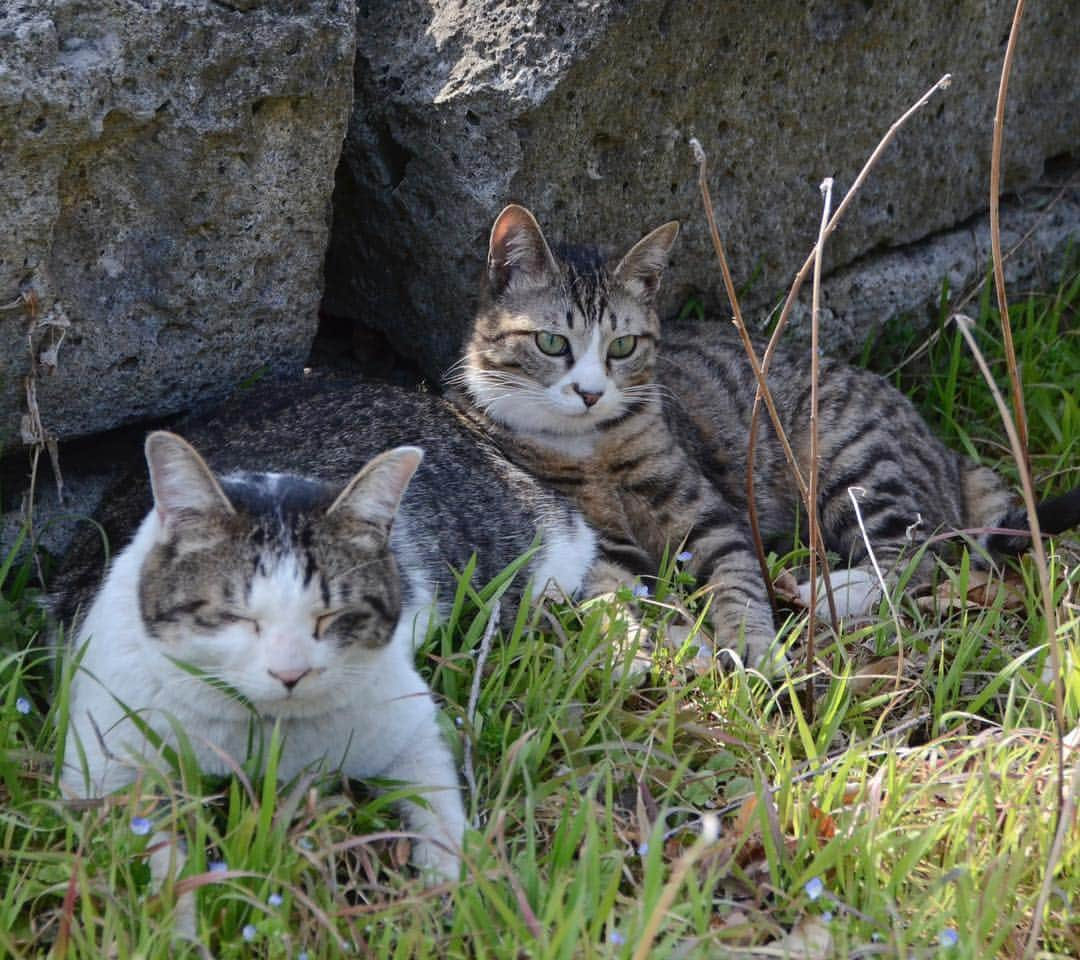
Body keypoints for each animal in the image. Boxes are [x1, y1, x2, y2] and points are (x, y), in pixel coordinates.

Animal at [449, 201, 1080, 665]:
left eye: (622, 346)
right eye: (551, 342)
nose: (590, 392)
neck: (592, 447)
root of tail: (946, 453)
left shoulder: (707, 515)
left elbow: (737, 582)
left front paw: (754, 648)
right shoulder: (593, 537)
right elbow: (606, 596)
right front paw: (637, 649)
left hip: (851, 457)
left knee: (923, 549)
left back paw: (829, 593)